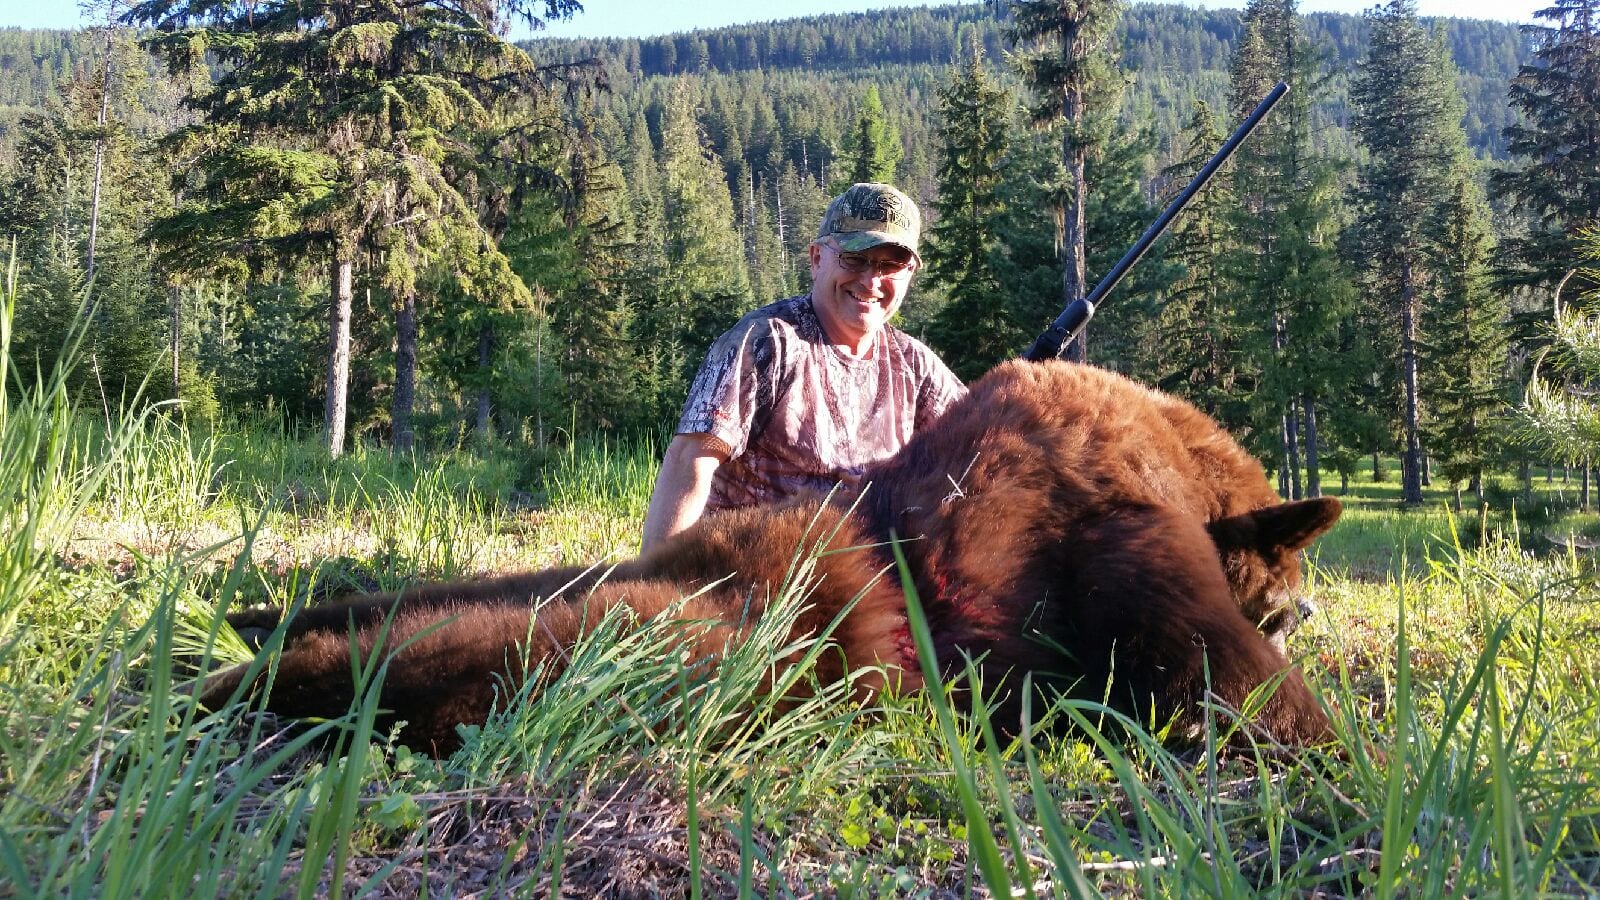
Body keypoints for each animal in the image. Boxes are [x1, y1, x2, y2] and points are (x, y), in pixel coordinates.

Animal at [201, 360, 1342, 755]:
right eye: (1286, 601)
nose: (1300, 616)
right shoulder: (1119, 535)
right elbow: (1220, 676)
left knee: (442, 606)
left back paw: (243, 630)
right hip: (752, 643)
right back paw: (226, 690)